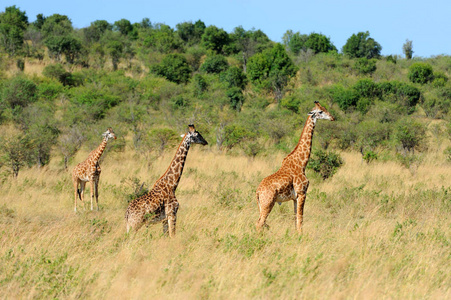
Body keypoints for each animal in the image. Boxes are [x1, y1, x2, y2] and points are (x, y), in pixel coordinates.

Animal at [256, 102, 334, 233]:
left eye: (325, 108)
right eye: (320, 111)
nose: (332, 117)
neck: (301, 163)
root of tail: (257, 191)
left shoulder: (294, 198)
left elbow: (295, 219)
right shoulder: (302, 193)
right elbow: (300, 220)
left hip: (261, 205)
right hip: (268, 203)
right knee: (260, 223)